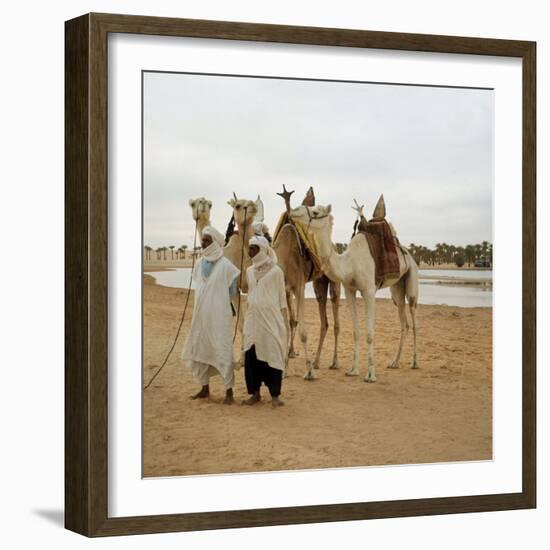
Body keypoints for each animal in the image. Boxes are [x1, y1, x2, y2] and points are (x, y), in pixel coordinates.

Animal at [272, 188, 340, 382]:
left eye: (316, 212)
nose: (294, 211)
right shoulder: (284, 290)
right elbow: (287, 326)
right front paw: (284, 369)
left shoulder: (299, 287)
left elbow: (302, 331)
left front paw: (308, 371)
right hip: (318, 284)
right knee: (324, 320)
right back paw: (316, 361)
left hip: (334, 283)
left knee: (335, 322)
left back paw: (333, 362)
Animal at [292, 198, 420, 384]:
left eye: (315, 212)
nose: (294, 210)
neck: (350, 264)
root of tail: (409, 255)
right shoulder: (349, 291)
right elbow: (356, 332)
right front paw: (353, 370)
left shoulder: (369, 291)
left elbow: (369, 334)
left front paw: (371, 374)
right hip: (397, 289)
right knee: (404, 322)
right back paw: (394, 362)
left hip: (411, 281)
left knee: (414, 316)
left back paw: (415, 362)